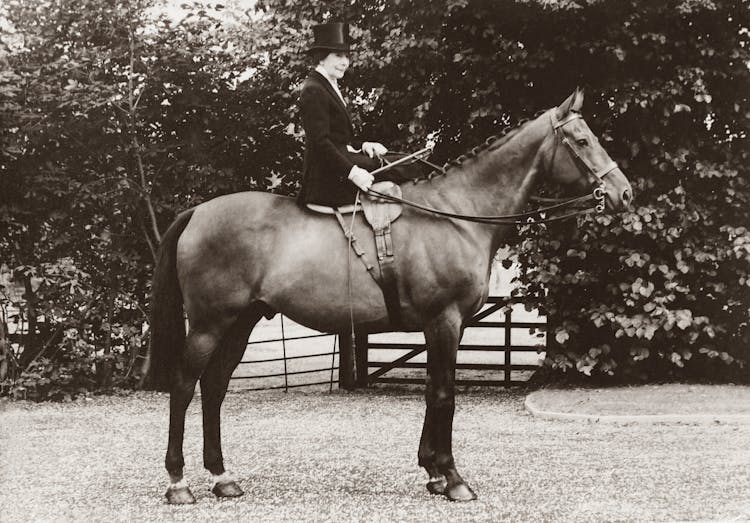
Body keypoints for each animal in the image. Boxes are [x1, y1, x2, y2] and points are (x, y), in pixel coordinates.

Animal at [142, 89, 636, 504]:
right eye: (581, 140)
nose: (624, 193)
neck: (455, 214)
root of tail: (197, 212)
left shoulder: (442, 327)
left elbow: (434, 392)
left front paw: (432, 472)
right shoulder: (444, 322)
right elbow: (444, 394)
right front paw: (452, 478)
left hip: (241, 322)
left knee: (214, 387)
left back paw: (222, 477)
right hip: (210, 324)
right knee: (184, 387)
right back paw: (178, 482)